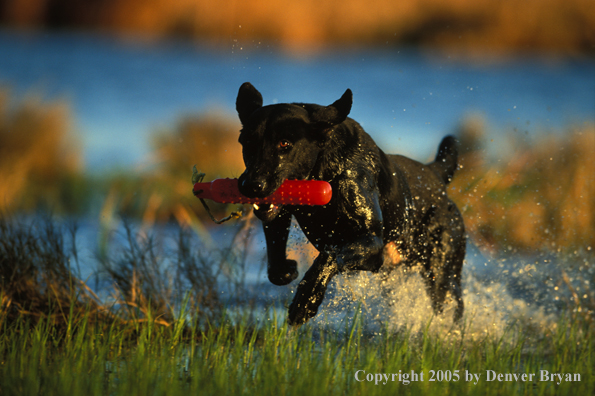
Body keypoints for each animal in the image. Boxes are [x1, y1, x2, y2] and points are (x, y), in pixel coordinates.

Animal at [236, 83, 466, 324]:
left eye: (285, 144)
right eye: (247, 142)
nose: (250, 185)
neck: (323, 170)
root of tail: (436, 173)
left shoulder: (371, 242)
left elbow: (330, 255)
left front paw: (307, 299)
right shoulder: (279, 214)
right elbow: (276, 265)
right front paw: (288, 270)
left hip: (442, 272)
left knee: (451, 304)